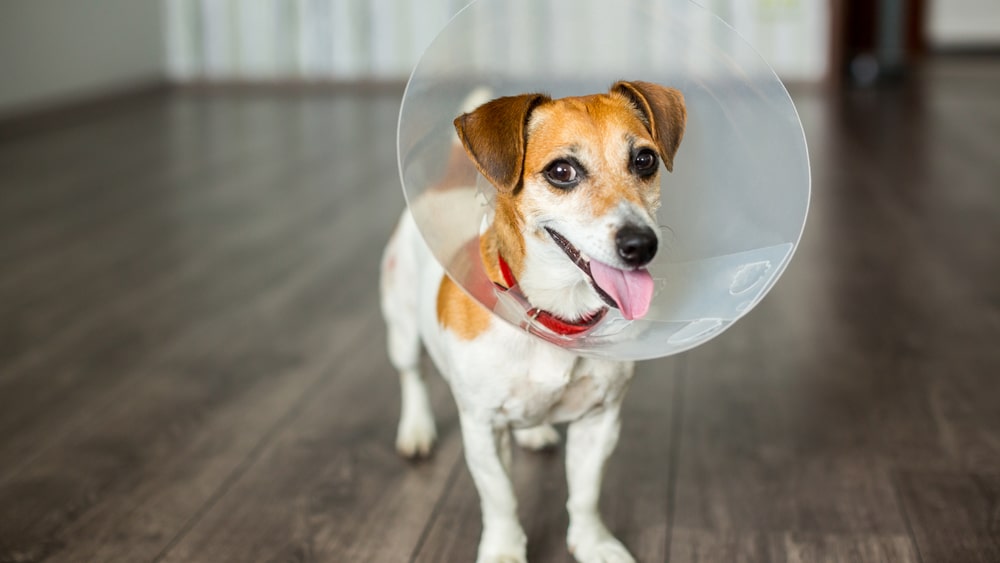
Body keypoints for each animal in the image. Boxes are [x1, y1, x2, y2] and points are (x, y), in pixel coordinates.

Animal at [382, 80, 688, 563]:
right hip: (402, 325)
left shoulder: (599, 421)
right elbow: (501, 499)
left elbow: (585, 494)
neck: (556, 315)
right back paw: (415, 430)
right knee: (411, 374)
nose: (641, 244)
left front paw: (594, 543)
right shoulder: (483, 429)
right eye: (562, 171)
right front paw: (504, 551)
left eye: (645, 160)